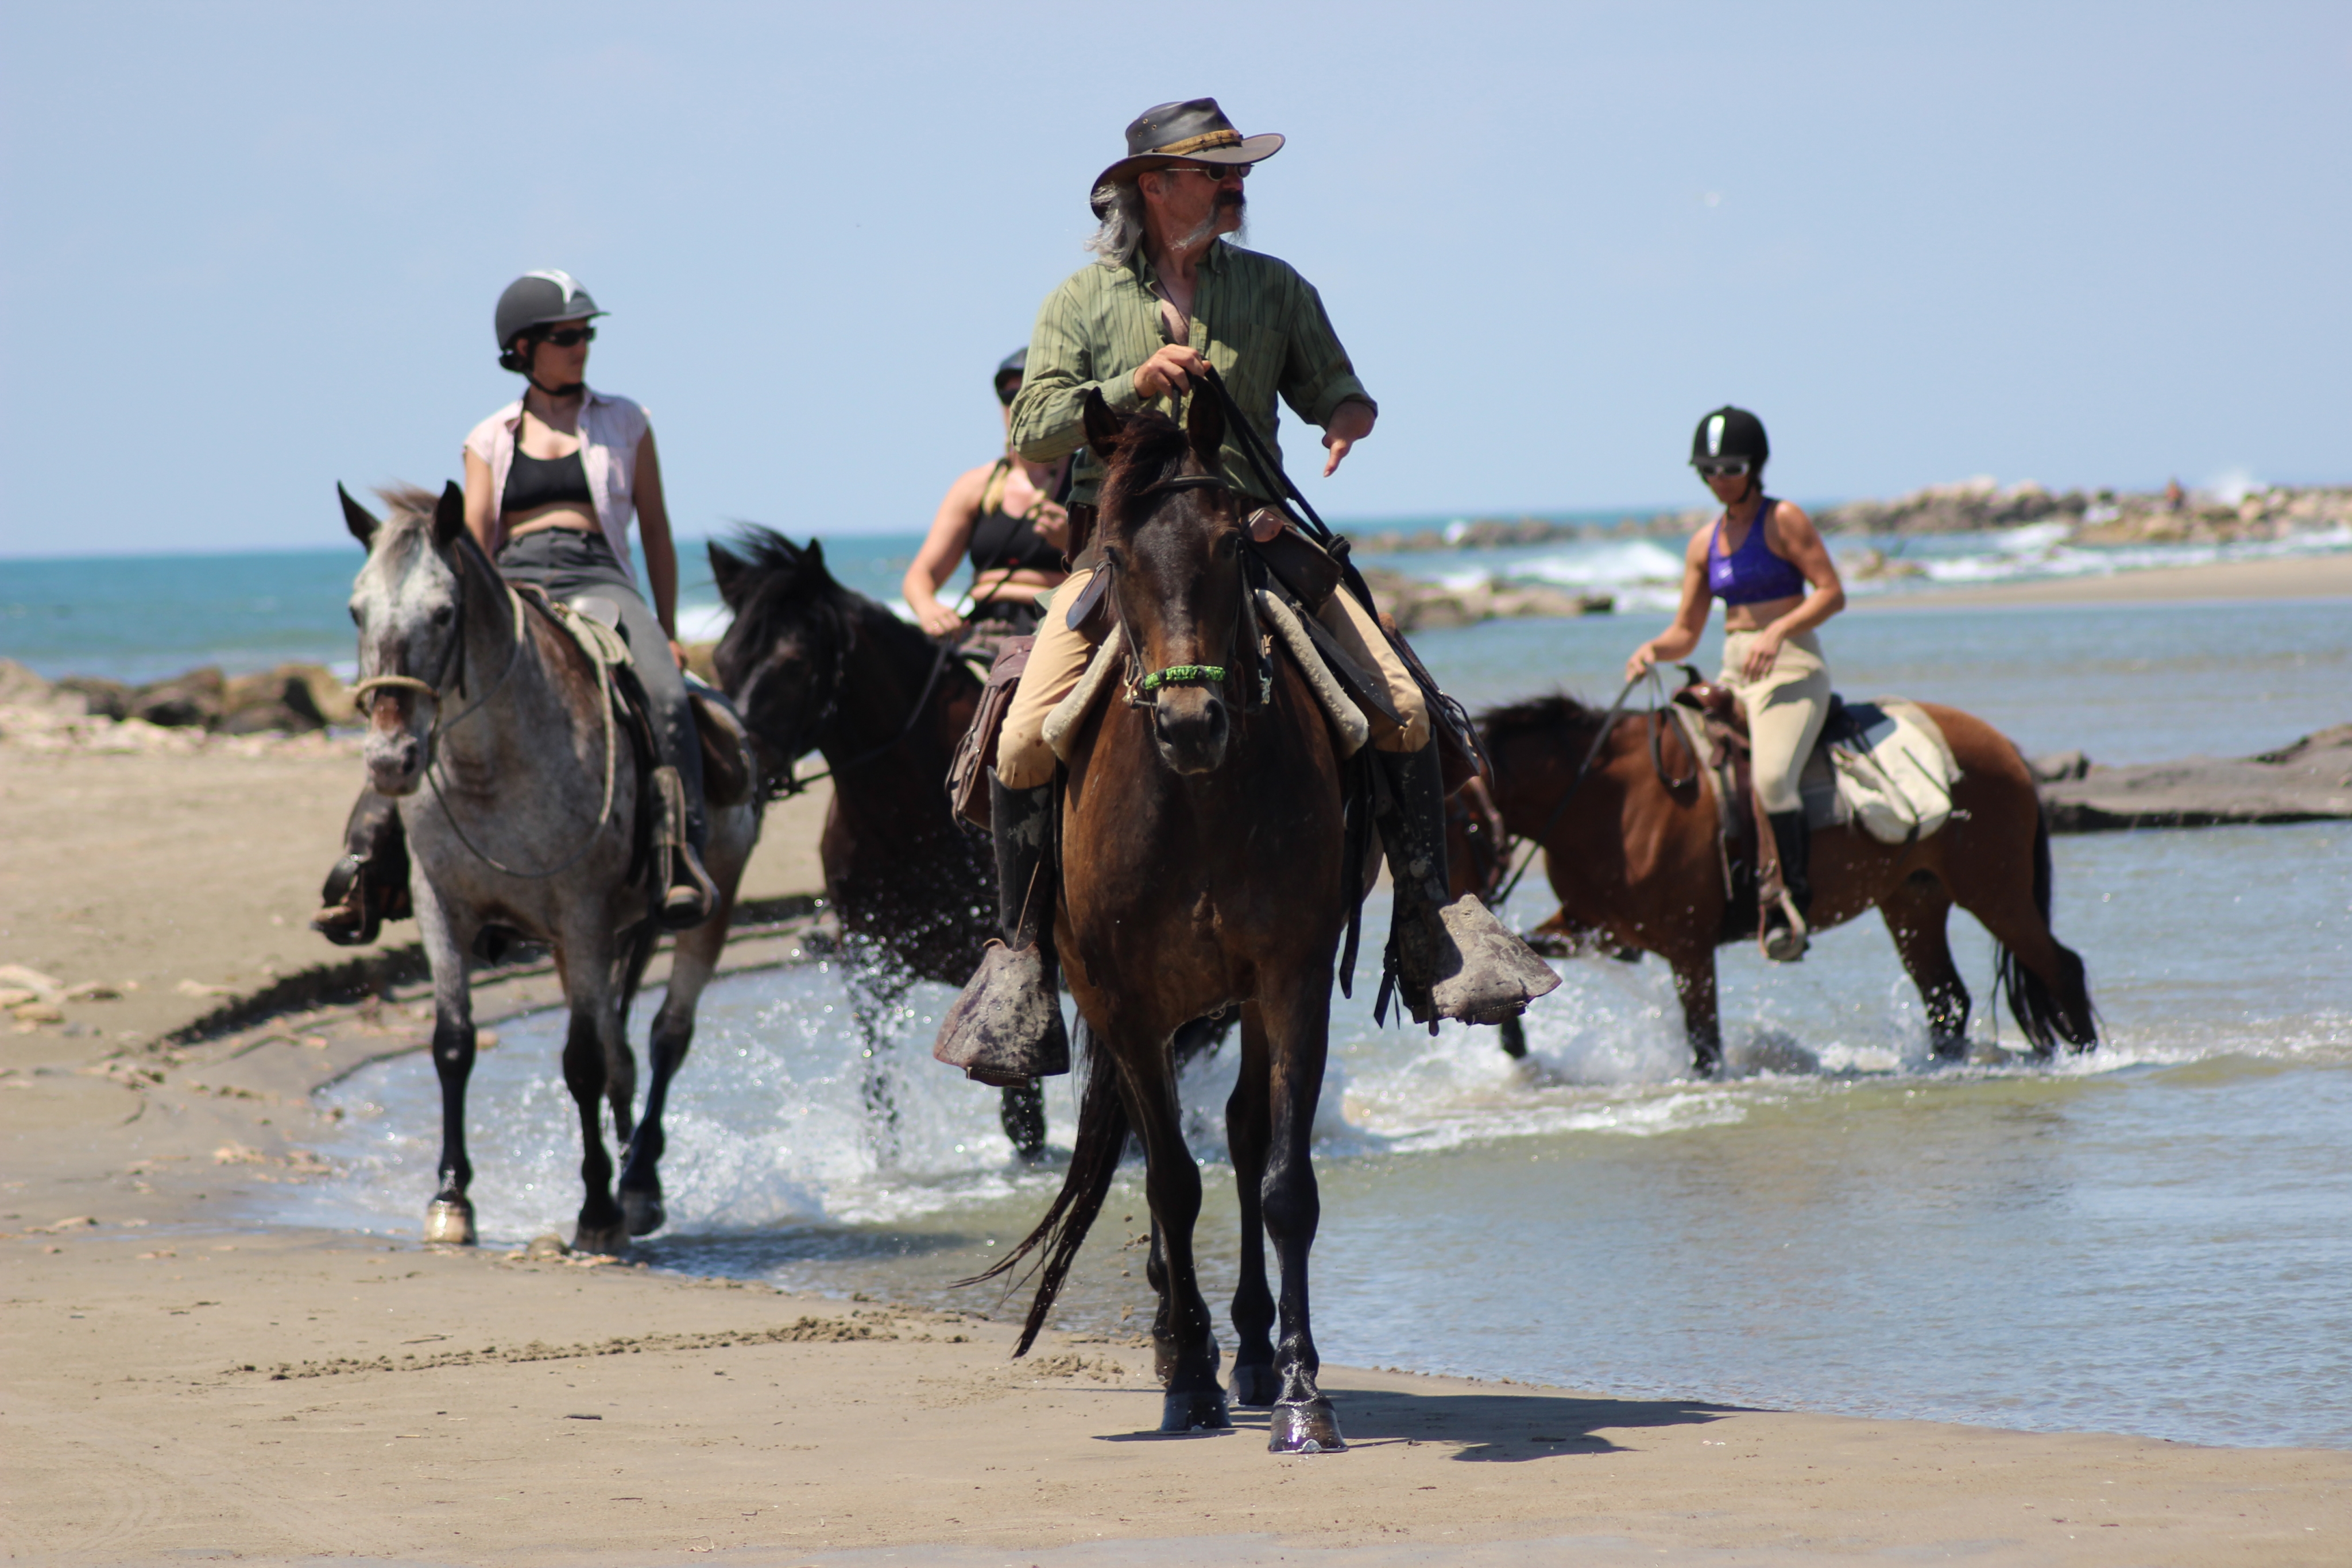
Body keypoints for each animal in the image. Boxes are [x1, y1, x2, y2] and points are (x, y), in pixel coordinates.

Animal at [341, 483, 760, 1251]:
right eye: (358, 610)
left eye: (444, 612)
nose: (391, 760)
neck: (492, 769)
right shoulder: (441, 905)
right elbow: (454, 1044)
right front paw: (451, 1197)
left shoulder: (582, 913)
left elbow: (583, 1062)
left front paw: (597, 1209)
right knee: (622, 1049)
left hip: (700, 910)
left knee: (665, 1036)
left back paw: (639, 1184)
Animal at [969, 390, 1358, 1454]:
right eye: (1114, 556)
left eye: (1233, 544)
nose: (1191, 723)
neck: (1196, 801)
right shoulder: (1125, 1001)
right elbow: (1171, 1184)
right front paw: (1186, 1377)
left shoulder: (1292, 976)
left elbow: (1282, 1181)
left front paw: (1301, 1390)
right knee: (1166, 1156)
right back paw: (1183, 1339)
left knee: (1243, 1132)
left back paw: (1255, 1350)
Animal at [1477, 691, 2097, 1076]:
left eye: (1466, 825)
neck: (1610, 799)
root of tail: (2004, 748)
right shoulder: (1593, 927)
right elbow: (1529, 958)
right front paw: (1512, 1039)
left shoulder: (1688, 948)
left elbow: (1705, 1042)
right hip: (1914, 901)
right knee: (1947, 998)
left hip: (1995, 892)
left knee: (2059, 966)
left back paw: (2087, 1055)